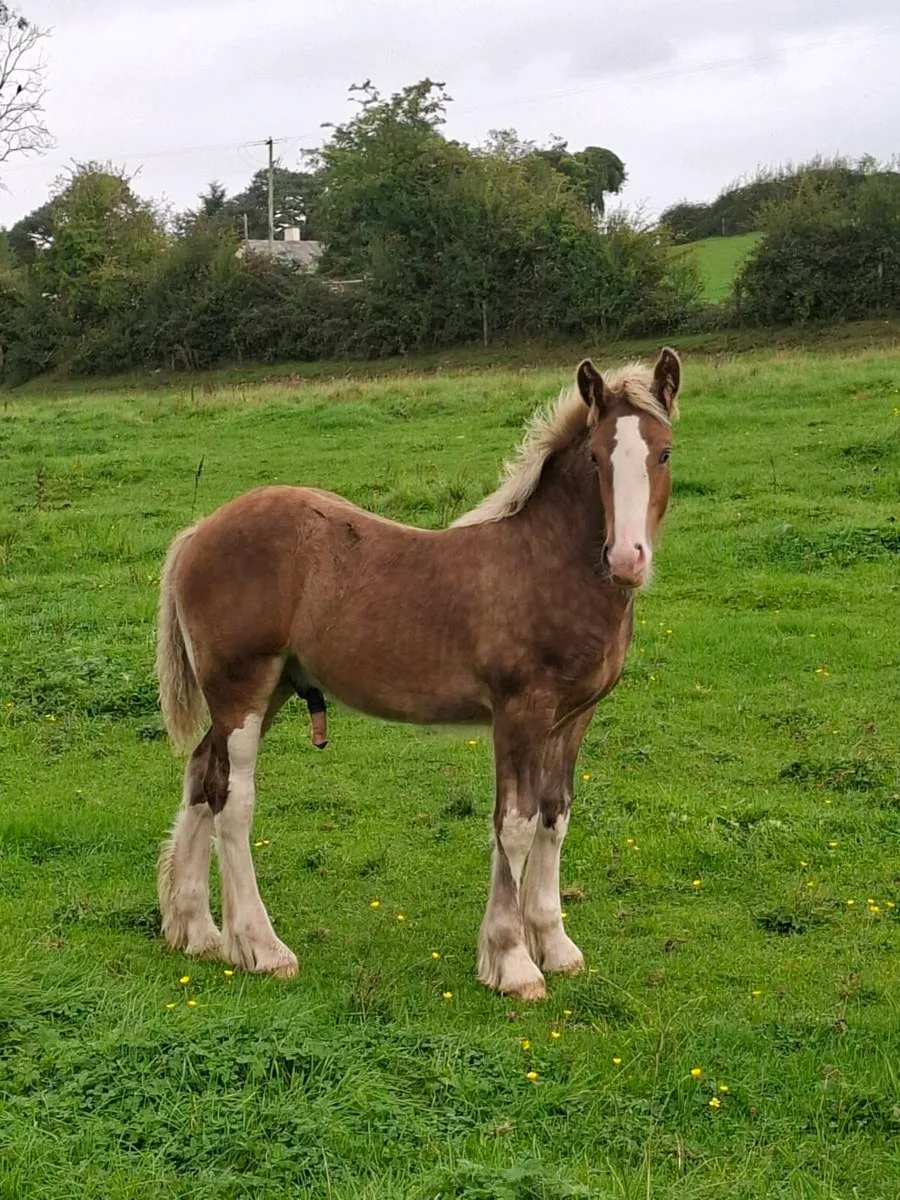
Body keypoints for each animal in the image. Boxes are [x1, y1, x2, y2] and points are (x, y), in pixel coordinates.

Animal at [155, 349, 681, 1000]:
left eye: (664, 452)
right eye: (595, 457)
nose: (627, 559)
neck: (545, 565)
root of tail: (197, 532)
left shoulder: (573, 717)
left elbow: (554, 816)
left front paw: (555, 946)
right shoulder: (520, 711)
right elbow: (514, 823)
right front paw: (512, 962)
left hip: (266, 691)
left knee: (202, 774)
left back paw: (196, 932)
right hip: (242, 689)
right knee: (234, 799)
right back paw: (261, 947)